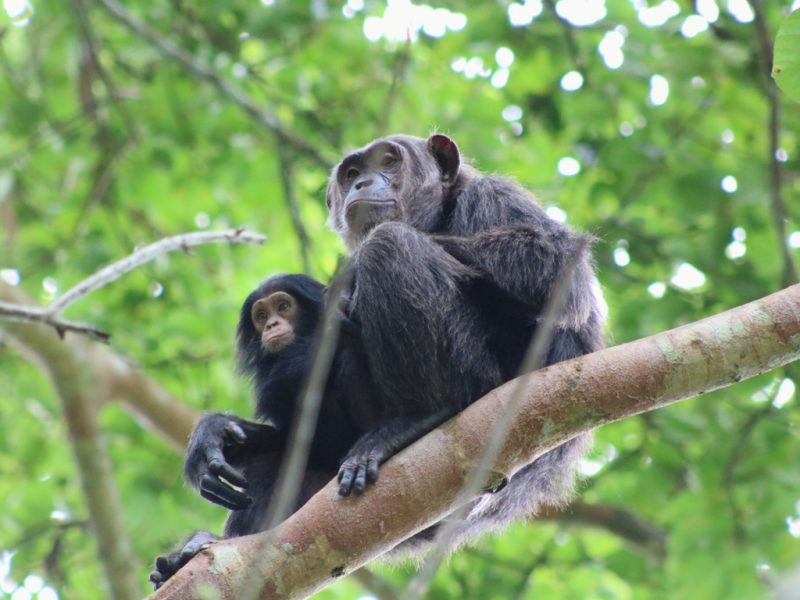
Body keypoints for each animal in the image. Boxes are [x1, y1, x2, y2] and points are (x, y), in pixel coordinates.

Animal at [148, 276, 368, 592]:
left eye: (284, 306)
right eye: (261, 316)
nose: (271, 324)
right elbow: (292, 439)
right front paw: (211, 436)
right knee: (267, 463)